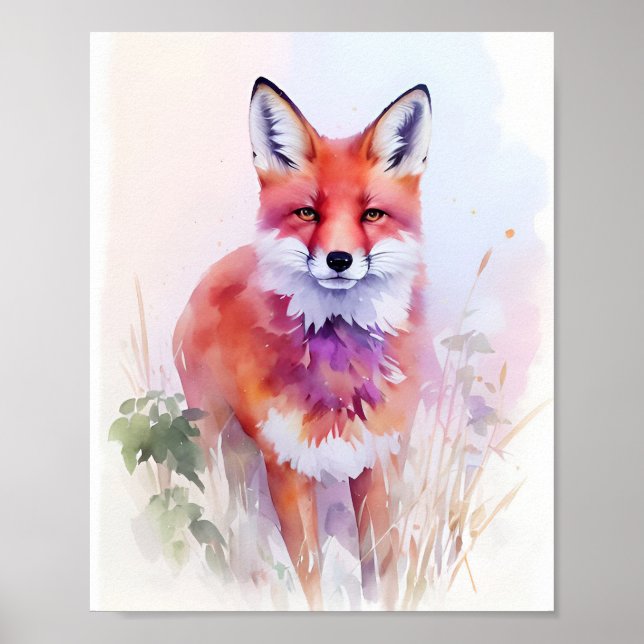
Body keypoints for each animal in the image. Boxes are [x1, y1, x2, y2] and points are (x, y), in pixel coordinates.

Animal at [173, 77, 441, 609]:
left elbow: (380, 572)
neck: (340, 375)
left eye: (372, 214)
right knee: (225, 522)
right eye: (307, 213)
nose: (339, 259)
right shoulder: (287, 469)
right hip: (215, 447)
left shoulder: (380, 463)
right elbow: (310, 579)